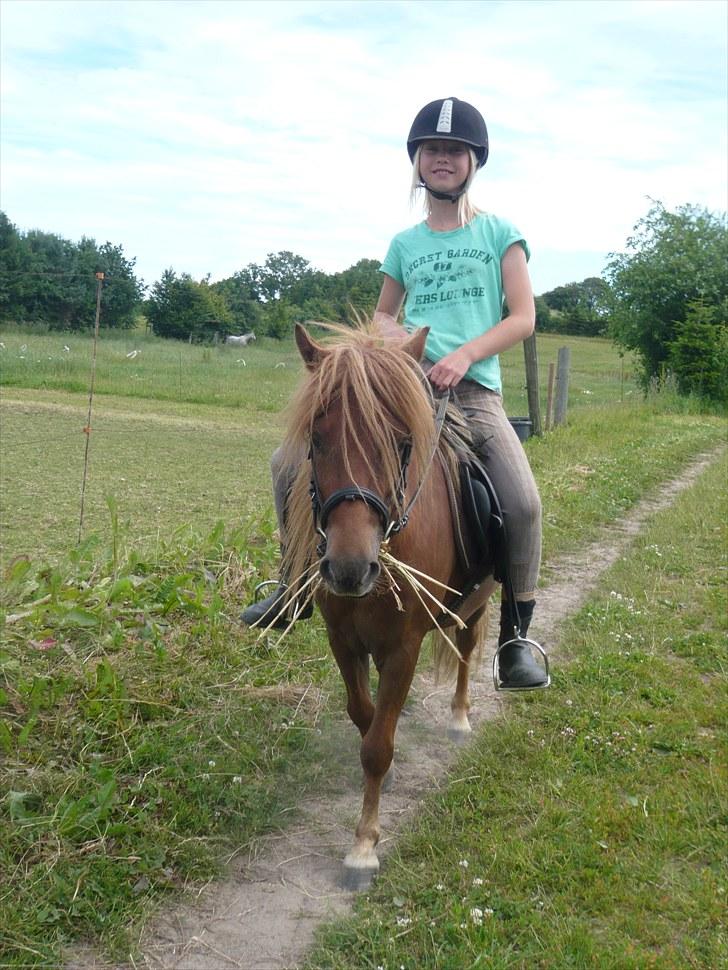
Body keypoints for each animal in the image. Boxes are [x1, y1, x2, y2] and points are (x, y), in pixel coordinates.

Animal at [278, 322, 494, 888]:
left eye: (401, 444)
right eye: (316, 440)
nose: (350, 569)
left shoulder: (404, 647)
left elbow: (377, 746)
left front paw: (363, 847)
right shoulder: (343, 639)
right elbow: (364, 716)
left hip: (478, 603)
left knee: (468, 649)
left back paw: (459, 718)